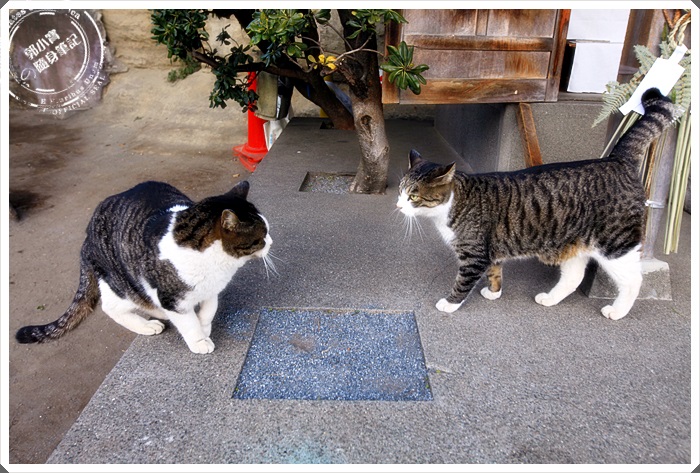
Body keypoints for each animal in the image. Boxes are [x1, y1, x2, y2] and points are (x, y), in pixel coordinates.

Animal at [15, 180, 272, 354]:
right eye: (261, 237)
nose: (271, 242)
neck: (218, 265)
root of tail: (86, 239)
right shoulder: (173, 298)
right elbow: (188, 323)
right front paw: (199, 340)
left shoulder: (212, 289)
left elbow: (209, 310)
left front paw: (205, 327)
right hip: (124, 285)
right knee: (112, 307)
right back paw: (148, 326)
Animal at [396, 88, 675, 320]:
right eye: (400, 191)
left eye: (413, 196)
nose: (398, 206)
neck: (454, 202)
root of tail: (617, 160)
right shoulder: (490, 250)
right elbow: (495, 270)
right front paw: (494, 292)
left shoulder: (474, 254)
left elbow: (463, 281)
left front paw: (450, 303)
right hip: (574, 242)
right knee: (574, 276)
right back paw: (550, 299)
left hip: (615, 244)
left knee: (633, 280)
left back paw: (617, 311)